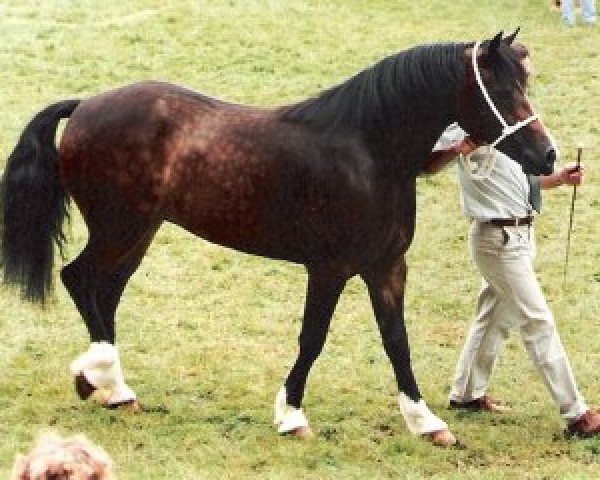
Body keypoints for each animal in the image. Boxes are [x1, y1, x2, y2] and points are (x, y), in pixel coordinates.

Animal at [2, 31, 556, 446]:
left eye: (525, 82)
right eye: (501, 90)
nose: (548, 156)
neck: (370, 150)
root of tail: (85, 105)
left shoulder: (387, 266)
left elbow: (397, 341)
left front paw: (427, 422)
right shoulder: (329, 267)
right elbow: (313, 338)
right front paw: (291, 416)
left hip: (139, 233)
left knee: (105, 292)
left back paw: (108, 386)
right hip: (119, 228)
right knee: (79, 280)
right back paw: (101, 375)